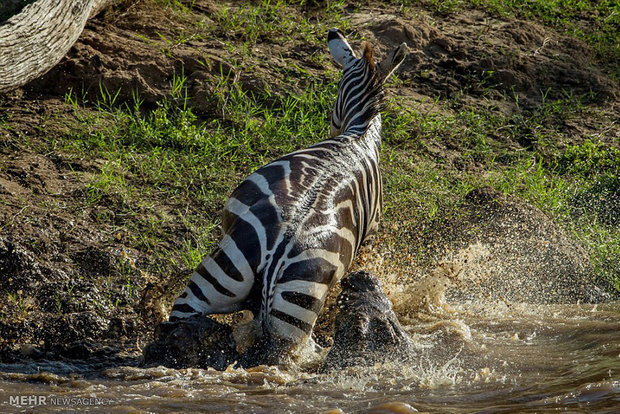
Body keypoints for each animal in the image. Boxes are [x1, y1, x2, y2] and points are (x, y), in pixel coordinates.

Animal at [168, 28, 406, 362]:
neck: (359, 134)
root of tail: (274, 257)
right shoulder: (369, 235)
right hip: (283, 312)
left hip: (219, 284)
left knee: (178, 331)